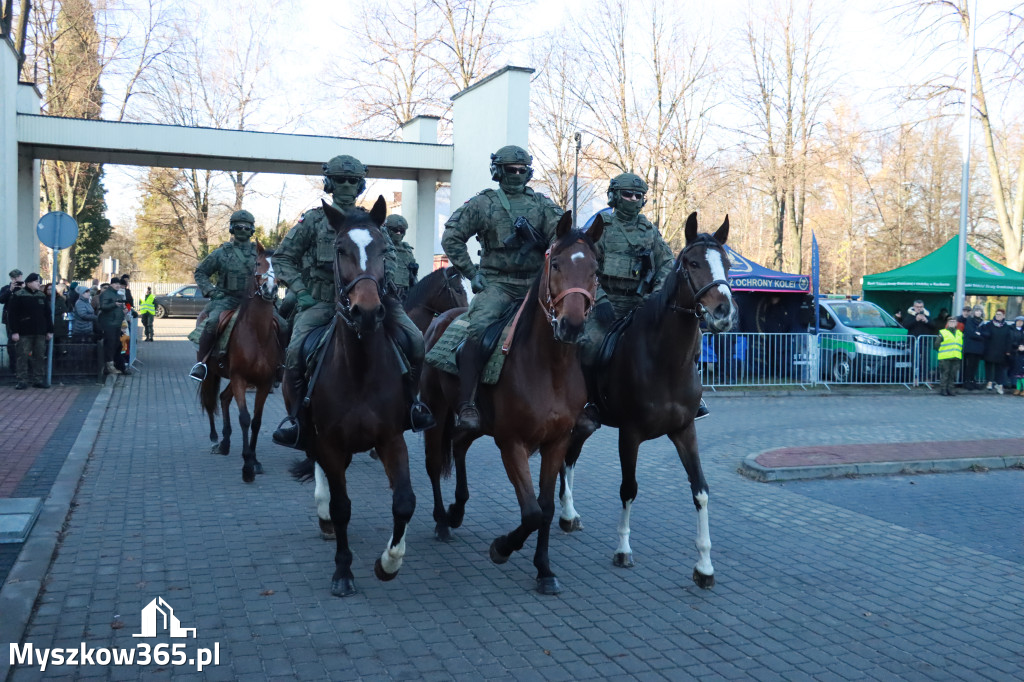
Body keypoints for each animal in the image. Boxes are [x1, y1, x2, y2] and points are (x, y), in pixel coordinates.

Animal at [198, 241, 282, 481]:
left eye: (279, 266)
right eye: (258, 263)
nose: (270, 289)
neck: (257, 334)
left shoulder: (263, 383)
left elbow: (256, 421)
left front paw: (254, 460)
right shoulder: (239, 378)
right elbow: (244, 418)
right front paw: (247, 466)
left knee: (224, 399)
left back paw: (225, 443)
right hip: (212, 373)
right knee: (210, 401)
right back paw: (216, 438)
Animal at [286, 193, 413, 593]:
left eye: (384, 249)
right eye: (340, 249)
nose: (367, 312)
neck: (360, 370)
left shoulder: (391, 438)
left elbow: (404, 502)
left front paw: (389, 562)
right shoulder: (329, 440)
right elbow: (342, 507)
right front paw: (343, 571)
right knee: (323, 475)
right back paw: (324, 514)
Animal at [421, 209, 602, 593]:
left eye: (594, 269)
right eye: (556, 263)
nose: (571, 326)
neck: (549, 368)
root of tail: (439, 320)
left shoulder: (557, 442)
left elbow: (546, 509)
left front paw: (544, 569)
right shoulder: (512, 443)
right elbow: (531, 512)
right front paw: (502, 548)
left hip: (478, 422)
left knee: (459, 443)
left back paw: (457, 510)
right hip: (436, 411)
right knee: (434, 462)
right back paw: (443, 520)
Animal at [557, 209, 733, 585]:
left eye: (727, 263)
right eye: (693, 262)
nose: (724, 311)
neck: (665, 361)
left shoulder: (684, 431)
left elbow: (700, 489)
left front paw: (704, 564)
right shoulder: (630, 434)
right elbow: (628, 488)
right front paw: (623, 549)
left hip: (586, 422)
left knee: (569, 458)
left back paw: (568, 512)